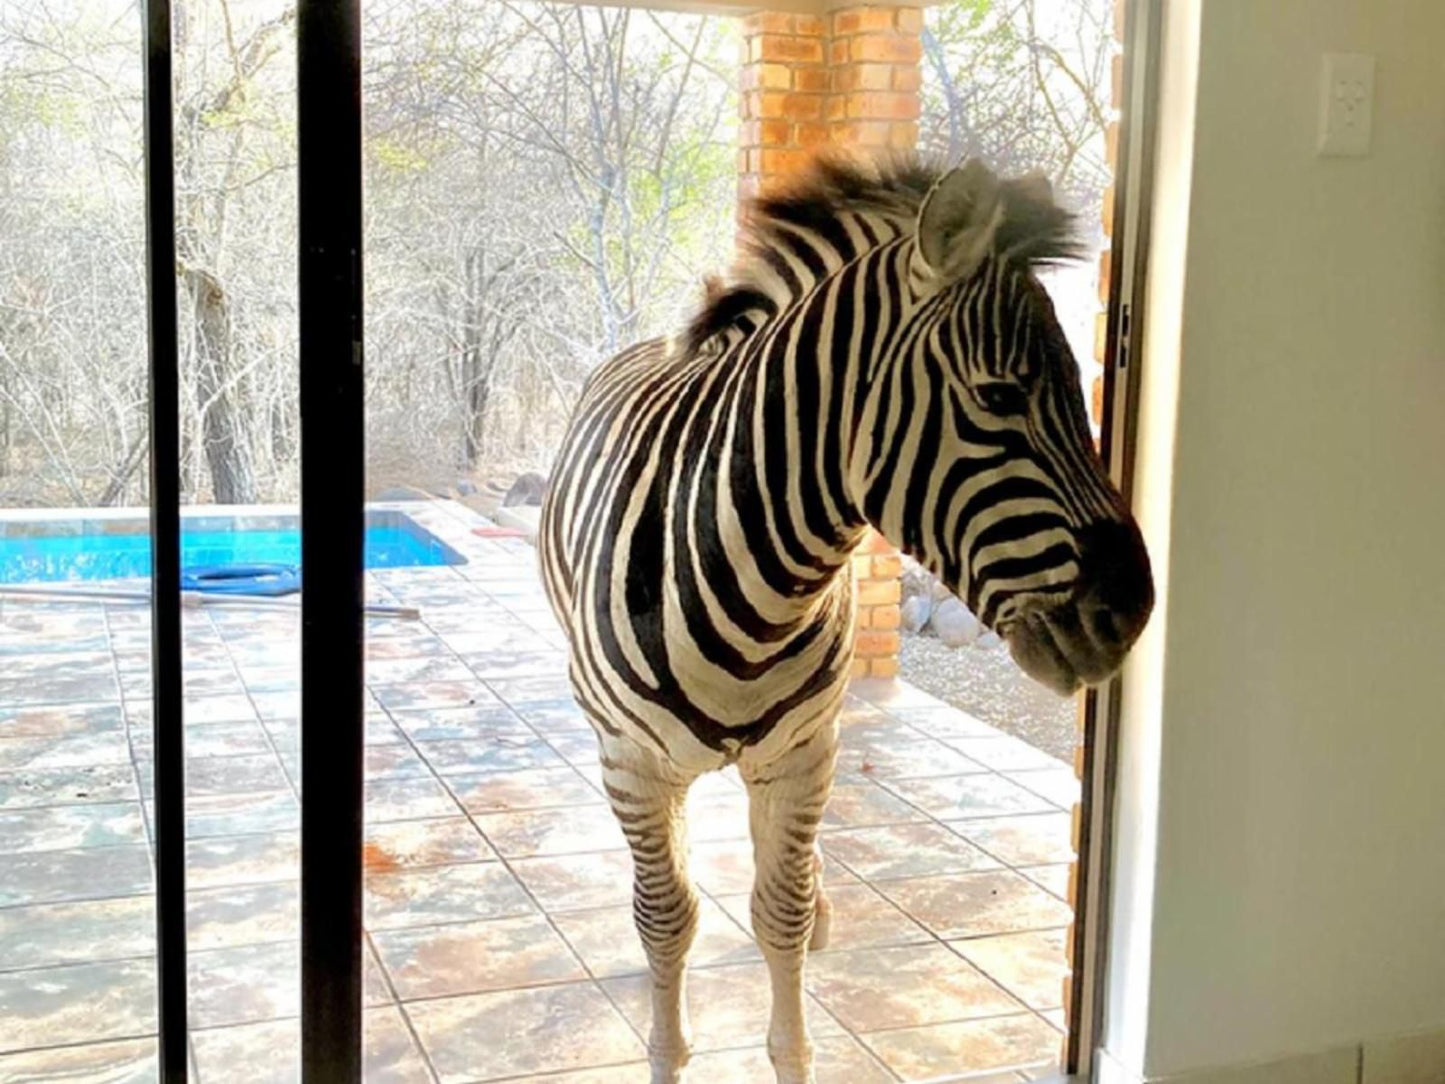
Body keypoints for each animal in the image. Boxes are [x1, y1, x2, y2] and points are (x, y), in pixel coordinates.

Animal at [537, 154, 1156, 1084]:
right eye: (998, 395)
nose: (1132, 611)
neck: (758, 586)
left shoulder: (805, 752)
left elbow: (780, 912)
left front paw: (793, 1028)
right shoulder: (633, 762)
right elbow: (667, 916)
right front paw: (666, 1048)